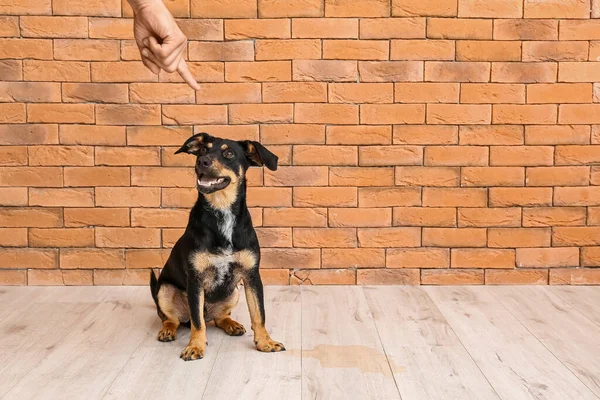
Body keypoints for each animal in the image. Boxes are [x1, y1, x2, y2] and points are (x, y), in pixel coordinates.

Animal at [149, 133, 282, 360]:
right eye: (203, 150)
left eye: (229, 153)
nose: (202, 162)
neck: (222, 211)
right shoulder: (195, 279)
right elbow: (197, 322)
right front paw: (195, 346)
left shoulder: (252, 276)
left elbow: (259, 314)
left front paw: (265, 342)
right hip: (165, 290)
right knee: (173, 318)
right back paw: (167, 330)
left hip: (233, 292)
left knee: (219, 318)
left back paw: (231, 324)